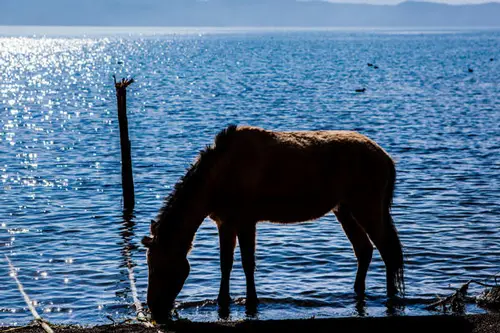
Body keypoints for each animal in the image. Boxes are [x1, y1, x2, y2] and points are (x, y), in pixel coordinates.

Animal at [140, 124, 402, 320]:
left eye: (158, 266)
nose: (153, 307)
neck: (219, 176)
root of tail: (386, 158)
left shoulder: (246, 221)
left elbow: (247, 263)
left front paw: (251, 301)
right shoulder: (225, 223)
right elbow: (226, 264)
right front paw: (222, 300)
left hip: (366, 207)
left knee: (388, 251)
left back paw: (391, 297)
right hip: (345, 210)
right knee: (364, 250)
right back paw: (358, 291)